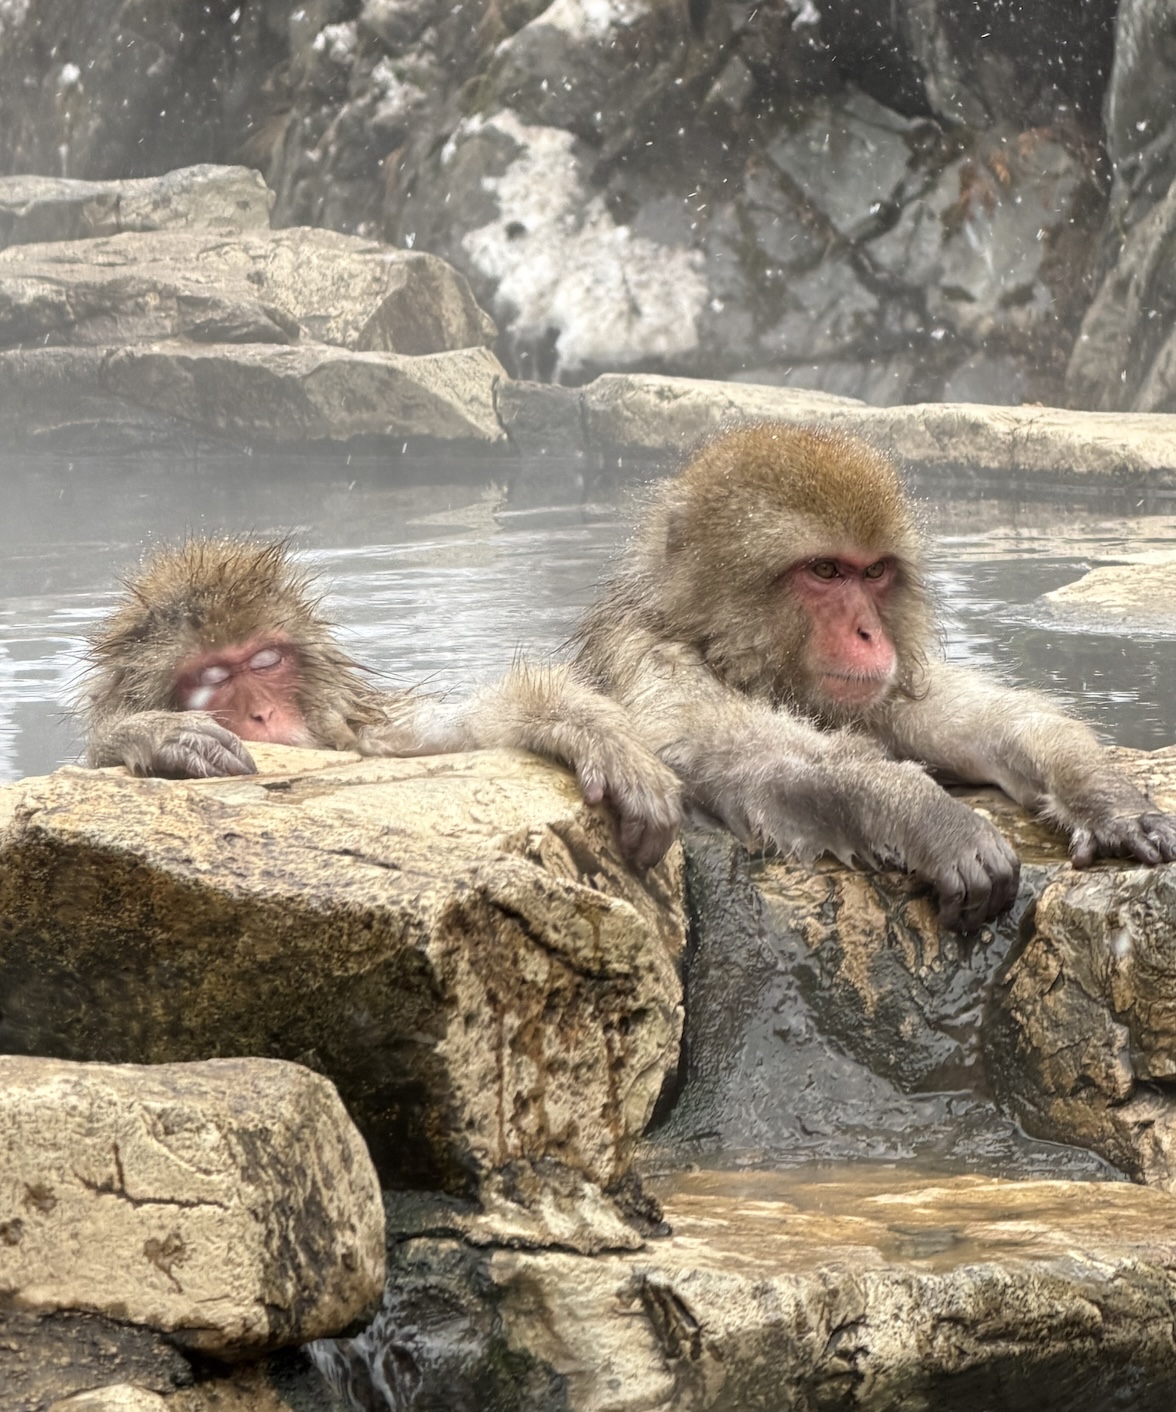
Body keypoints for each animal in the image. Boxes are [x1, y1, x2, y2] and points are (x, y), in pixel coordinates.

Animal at [79, 537, 682, 870]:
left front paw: (593, 733)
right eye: (212, 677)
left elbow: (464, 731)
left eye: (266, 661)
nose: (261, 715)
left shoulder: (366, 732)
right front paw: (155, 733)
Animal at [572, 423, 1176, 929]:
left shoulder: (877, 689)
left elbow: (994, 725)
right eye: (825, 570)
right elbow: (732, 757)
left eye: (876, 572)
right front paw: (927, 814)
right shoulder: (651, 655)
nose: (869, 633)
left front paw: (1109, 801)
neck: (725, 654)